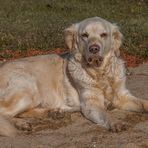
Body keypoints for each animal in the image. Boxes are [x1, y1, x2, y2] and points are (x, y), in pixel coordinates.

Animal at [0, 17, 148, 136]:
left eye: (103, 34)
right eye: (85, 35)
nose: (94, 48)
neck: (100, 73)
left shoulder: (123, 96)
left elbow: (143, 103)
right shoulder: (91, 104)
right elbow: (106, 114)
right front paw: (115, 123)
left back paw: (53, 112)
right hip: (28, 88)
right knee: (4, 112)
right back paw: (21, 124)